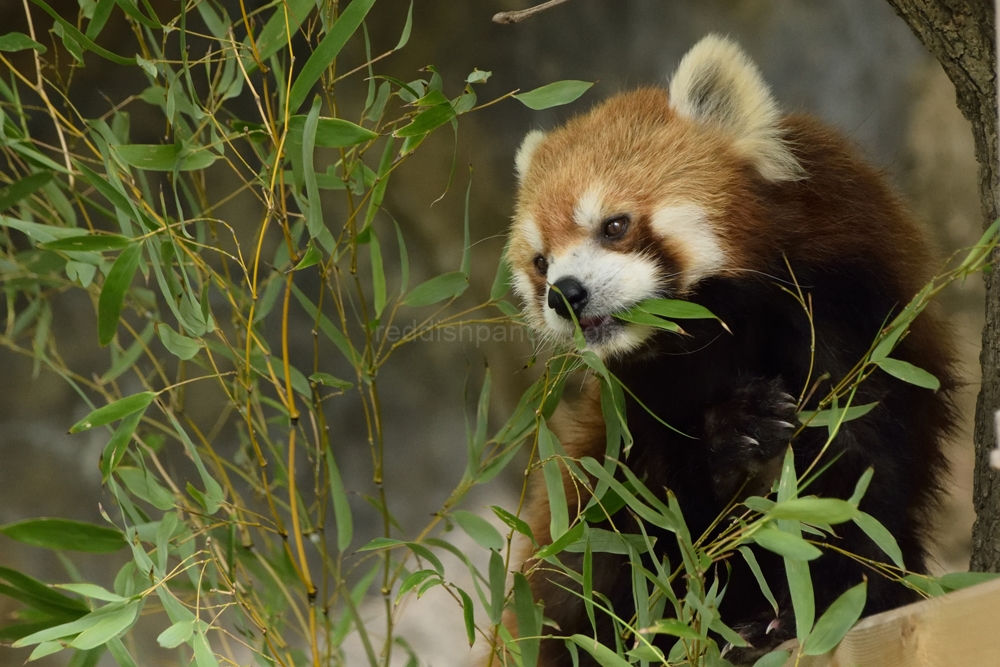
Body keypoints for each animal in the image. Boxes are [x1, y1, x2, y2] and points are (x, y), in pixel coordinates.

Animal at [504, 37, 956, 667]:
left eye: (614, 225)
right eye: (540, 261)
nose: (564, 294)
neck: (716, 330)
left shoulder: (849, 321)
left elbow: (862, 481)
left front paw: (819, 607)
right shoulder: (640, 407)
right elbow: (667, 513)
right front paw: (734, 433)